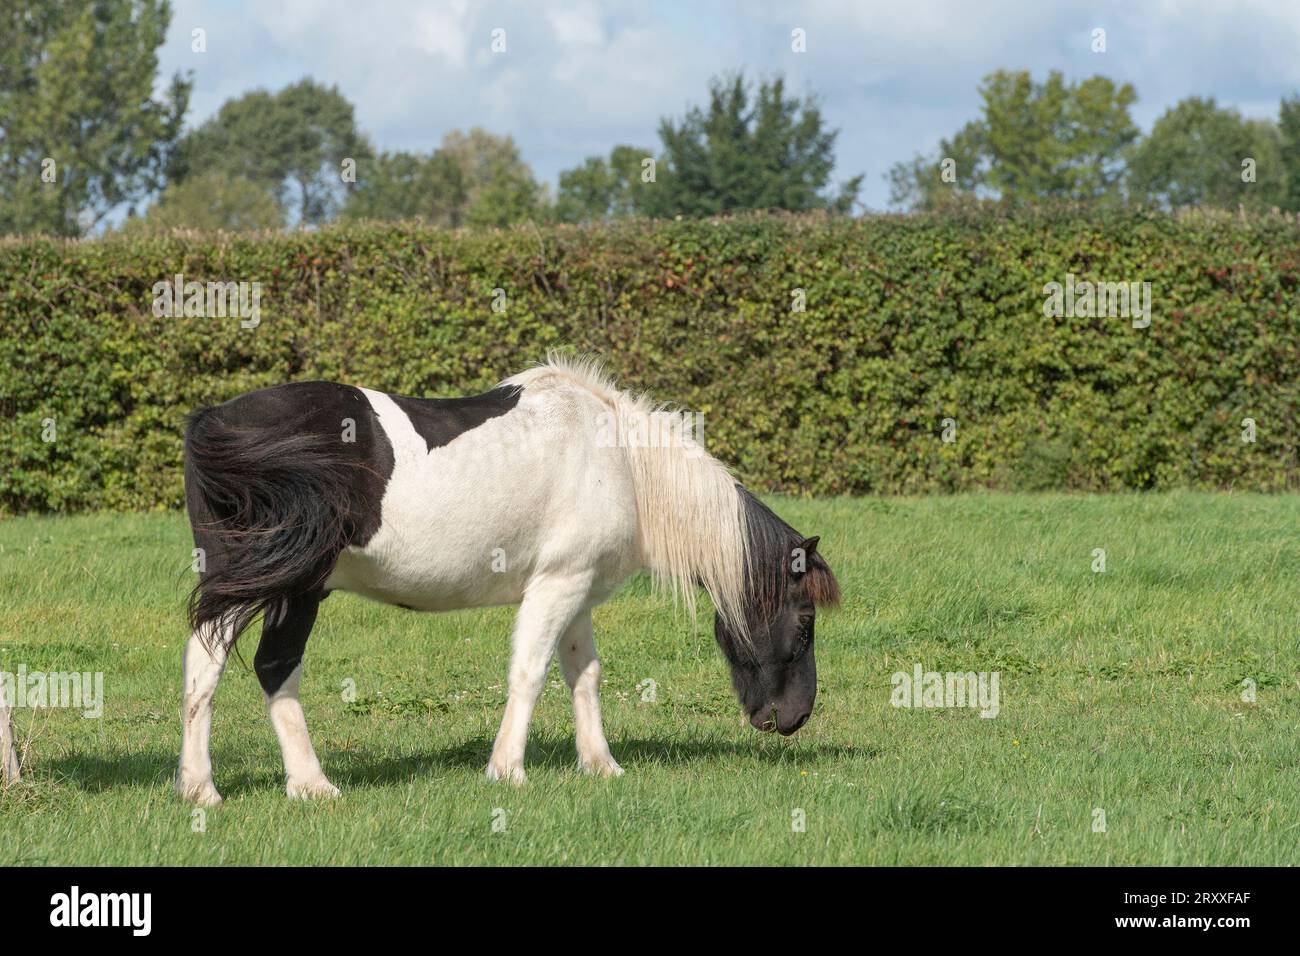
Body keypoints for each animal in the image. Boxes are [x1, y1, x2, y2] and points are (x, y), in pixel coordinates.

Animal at [175, 356, 842, 806]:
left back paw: (279, 786)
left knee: (247, 668)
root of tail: (214, 422)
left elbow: (584, 676)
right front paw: (508, 770)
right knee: (230, 665)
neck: (620, 461)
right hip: (277, 585)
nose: (794, 718)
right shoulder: (556, 586)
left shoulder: (576, 591)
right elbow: (531, 671)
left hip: (286, 587)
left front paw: (600, 766)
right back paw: (228, 788)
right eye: (805, 621)